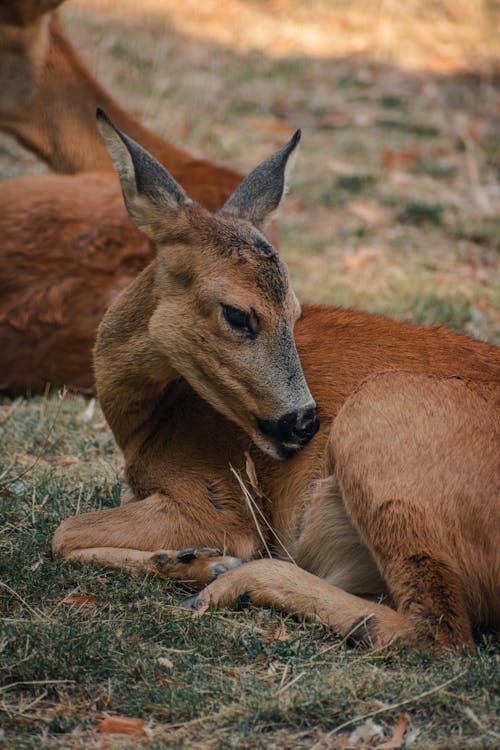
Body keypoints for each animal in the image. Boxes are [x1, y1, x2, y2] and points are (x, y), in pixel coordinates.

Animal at [51, 110, 500, 652]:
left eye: (295, 312)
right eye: (237, 314)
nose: (303, 422)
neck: (150, 424)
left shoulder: (218, 497)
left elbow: (63, 533)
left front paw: (199, 562)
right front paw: (188, 561)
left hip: (381, 410)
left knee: (436, 629)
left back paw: (231, 583)